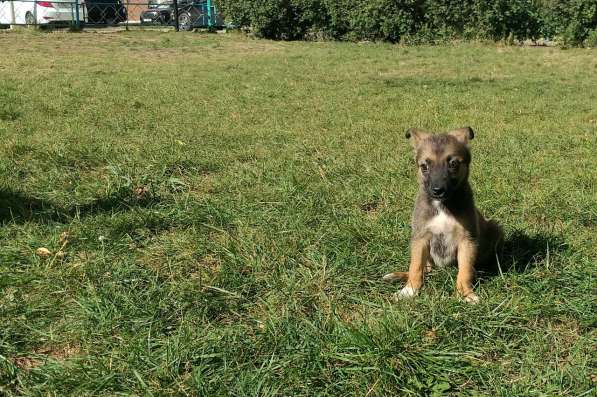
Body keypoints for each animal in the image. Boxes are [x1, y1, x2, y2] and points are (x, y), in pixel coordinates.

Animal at [382, 127, 502, 304]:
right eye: (424, 166)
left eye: (453, 164)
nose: (438, 191)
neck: (442, 205)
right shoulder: (420, 237)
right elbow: (415, 266)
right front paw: (409, 290)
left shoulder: (467, 239)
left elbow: (465, 271)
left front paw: (465, 294)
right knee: (426, 269)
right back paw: (396, 276)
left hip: (496, 228)